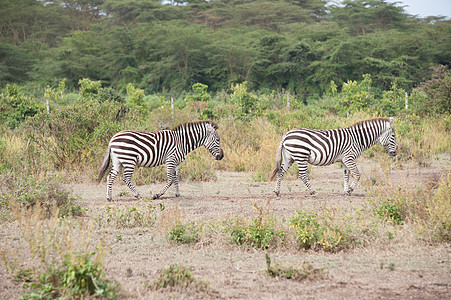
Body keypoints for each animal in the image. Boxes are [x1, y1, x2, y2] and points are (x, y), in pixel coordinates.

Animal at [270, 117, 398, 197]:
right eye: (393, 136)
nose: (395, 153)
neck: (358, 139)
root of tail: (286, 134)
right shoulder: (349, 158)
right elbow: (357, 175)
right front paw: (350, 189)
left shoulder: (345, 160)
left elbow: (346, 175)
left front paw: (346, 191)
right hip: (301, 155)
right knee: (302, 175)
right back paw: (313, 192)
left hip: (289, 158)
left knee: (280, 172)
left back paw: (277, 192)